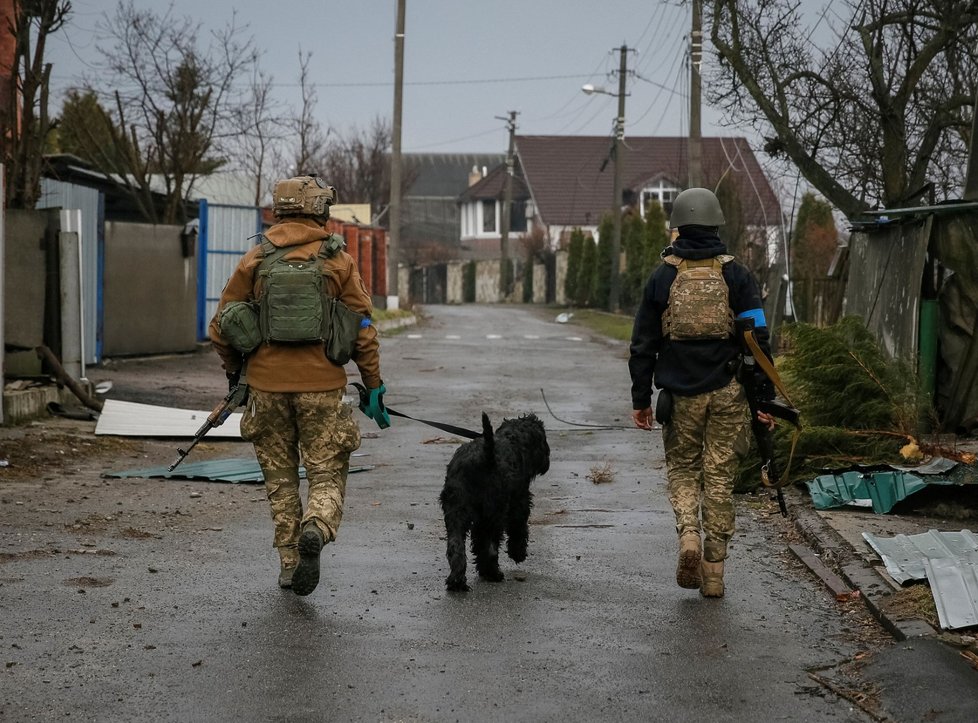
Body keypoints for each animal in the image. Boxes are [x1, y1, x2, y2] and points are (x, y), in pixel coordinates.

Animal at [438, 412, 544, 592]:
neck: (512, 439)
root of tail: (484, 457)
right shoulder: (519, 501)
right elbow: (518, 528)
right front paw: (518, 553)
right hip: (492, 514)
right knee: (490, 546)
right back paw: (492, 573)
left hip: (456, 511)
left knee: (456, 545)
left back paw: (457, 581)